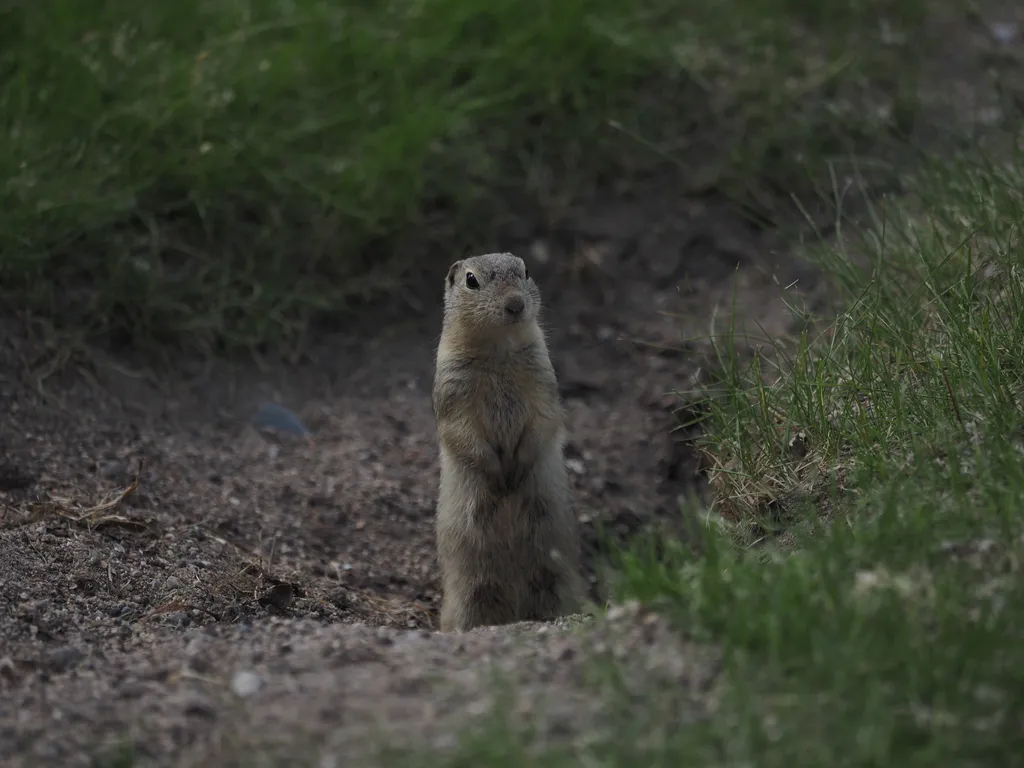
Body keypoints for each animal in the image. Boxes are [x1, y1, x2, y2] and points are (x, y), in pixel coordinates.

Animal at [431, 252, 585, 632]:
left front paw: (517, 470)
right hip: (469, 595)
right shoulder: (453, 390)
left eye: (526, 271)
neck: (498, 349)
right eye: (471, 280)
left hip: (558, 582)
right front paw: (499, 476)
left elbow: (543, 421)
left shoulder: (542, 378)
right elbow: (463, 434)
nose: (515, 304)